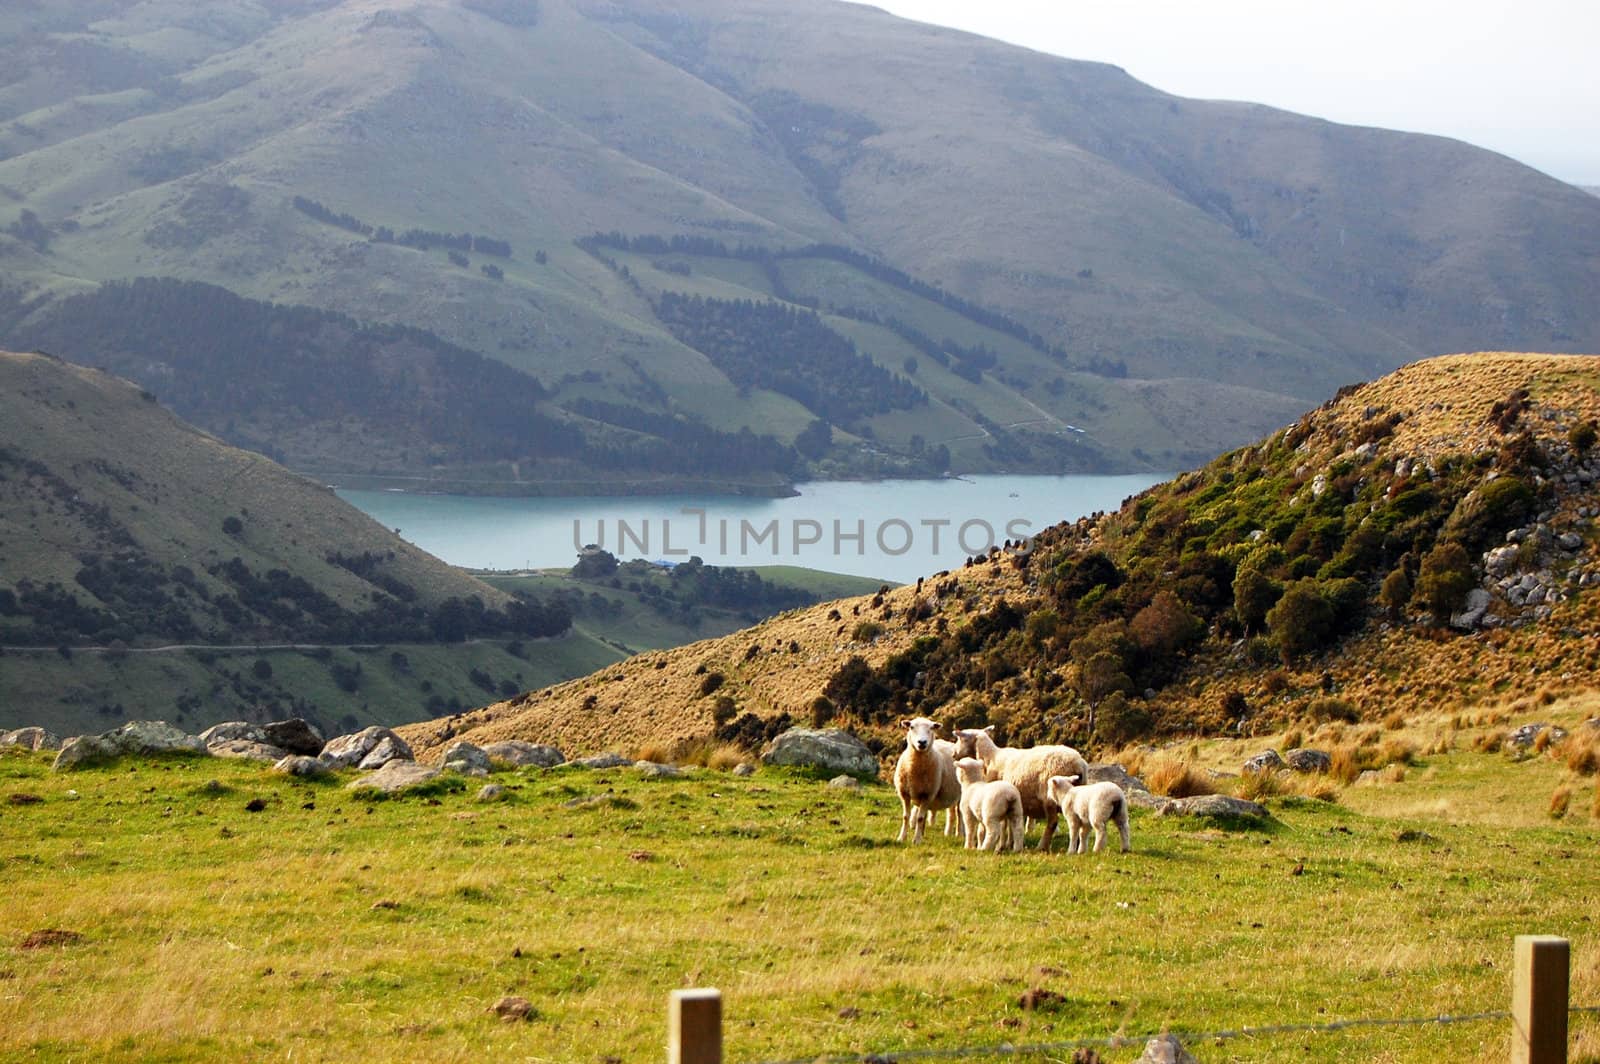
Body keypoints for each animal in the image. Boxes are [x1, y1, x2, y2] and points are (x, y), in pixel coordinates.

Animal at [889, 716, 960, 844]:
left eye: (931, 728)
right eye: (911, 727)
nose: (922, 742)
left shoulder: (927, 794)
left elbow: (920, 818)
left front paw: (916, 840)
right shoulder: (904, 793)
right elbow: (906, 817)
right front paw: (902, 838)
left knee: (959, 814)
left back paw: (960, 834)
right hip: (951, 792)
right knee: (951, 813)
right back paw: (947, 833)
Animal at [953, 716, 1094, 851]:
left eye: (961, 738)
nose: (954, 754)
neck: (990, 758)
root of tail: (1079, 764)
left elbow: (1003, 825)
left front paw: (1001, 845)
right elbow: (1011, 825)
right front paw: (1009, 843)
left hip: (1048, 797)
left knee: (1052, 822)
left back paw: (1041, 846)